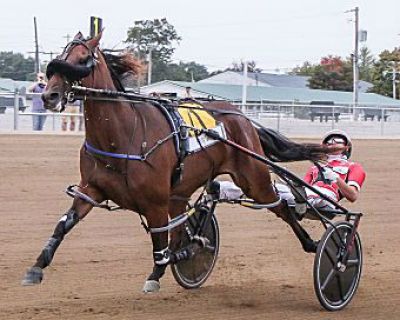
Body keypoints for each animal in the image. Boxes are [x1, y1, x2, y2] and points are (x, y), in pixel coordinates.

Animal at [21, 32, 338, 292]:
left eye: (82, 59)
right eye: (59, 59)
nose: (49, 96)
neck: (122, 135)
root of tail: (240, 116)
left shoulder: (155, 202)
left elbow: (160, 245)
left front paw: (155, 276)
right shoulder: (91, 190)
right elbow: (63, 225)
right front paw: (36, 268)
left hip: (254, 178)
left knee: (282, 206)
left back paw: (316, 244)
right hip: (182, 190)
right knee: (188, 223)